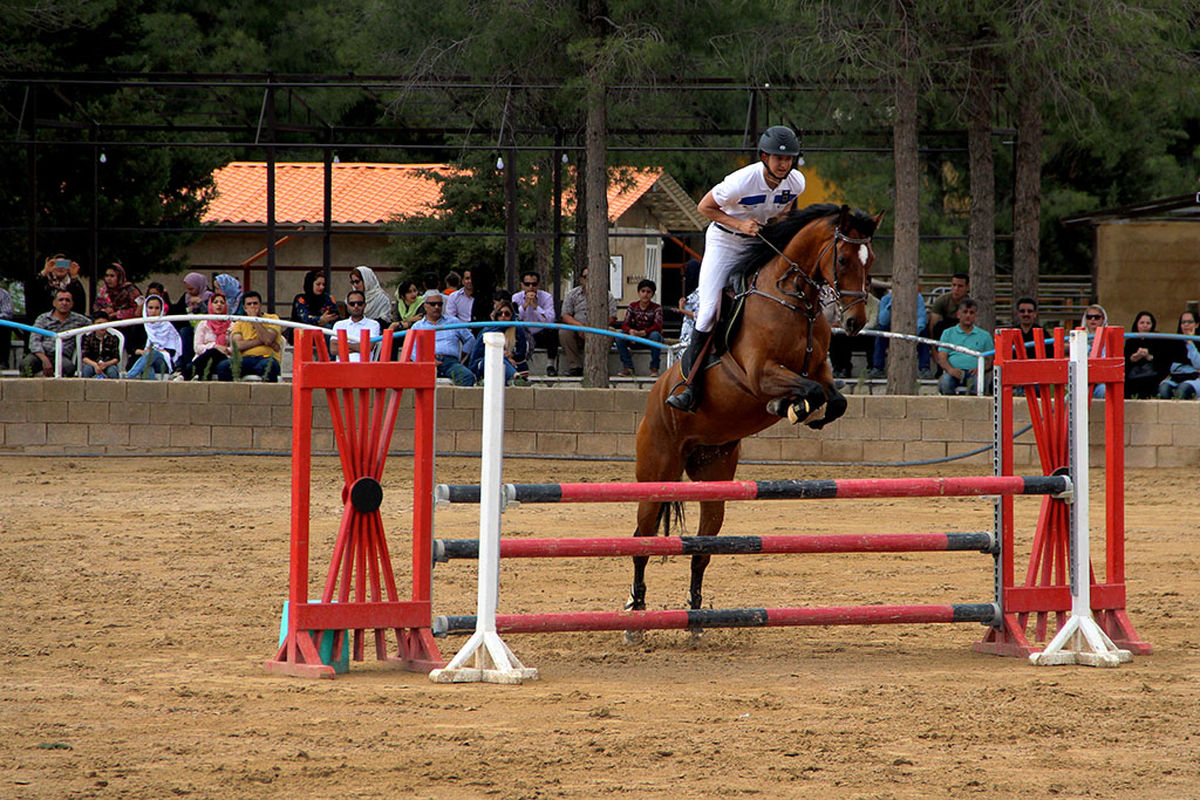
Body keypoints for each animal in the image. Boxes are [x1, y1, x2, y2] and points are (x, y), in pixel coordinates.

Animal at [628, 201, 883, 638]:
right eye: (843, 259)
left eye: (871, 261)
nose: (854, 323)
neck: (792, 300)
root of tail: (656, 399)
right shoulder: (759, 374)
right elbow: (808, 392)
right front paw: (789, 407)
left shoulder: (819, 371)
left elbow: (833, 400)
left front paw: (802, 412)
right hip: (655, 473)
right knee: (641, 539)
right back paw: (636, 616)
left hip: (713, 478)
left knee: (701, 549)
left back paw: (696, 619)